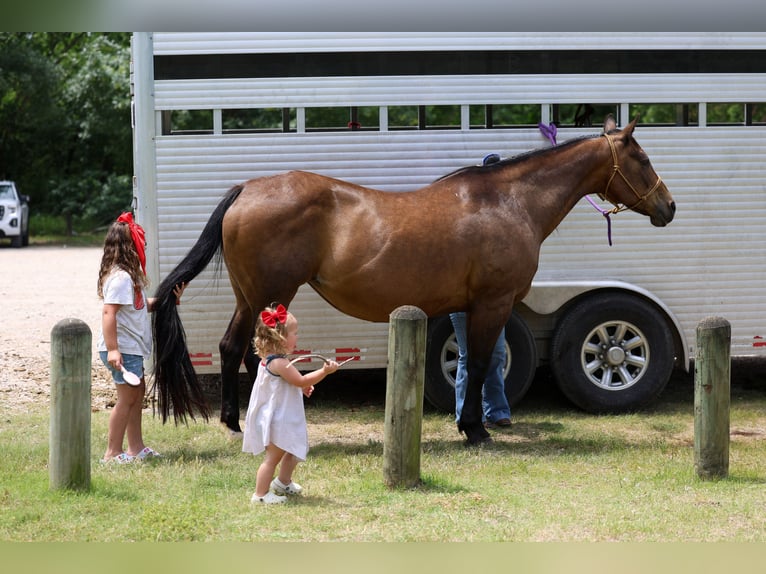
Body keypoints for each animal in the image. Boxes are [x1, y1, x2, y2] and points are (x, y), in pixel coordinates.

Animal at [150, 115, 675, 446]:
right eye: (643, 159)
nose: (668, 206)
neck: (509, 203)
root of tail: (247, 190)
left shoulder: (469, 305)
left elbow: (471, 364)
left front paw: (470, 423)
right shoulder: (493, 302)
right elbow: (478, 364)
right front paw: (475, 430)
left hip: (251, 297)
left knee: (233, 349)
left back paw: (236, 422)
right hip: (268, 294)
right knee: (242, 351)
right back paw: (236, 424)